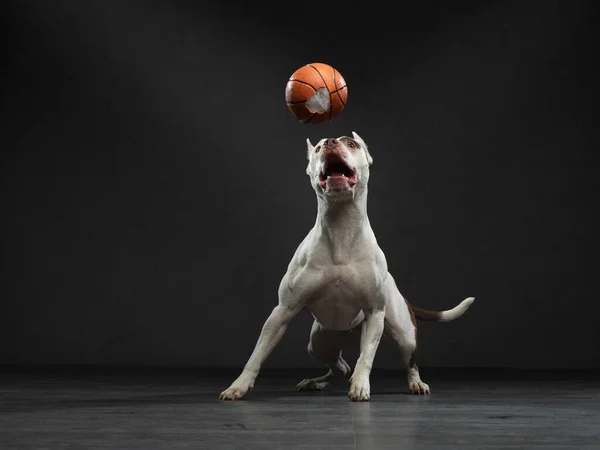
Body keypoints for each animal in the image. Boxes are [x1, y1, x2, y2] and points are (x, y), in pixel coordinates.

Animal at [220, 133, 474, 400]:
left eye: (351, 144)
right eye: (318, 148)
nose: (331, 142)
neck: (341, 228)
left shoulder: (374, 312)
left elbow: (367, 357)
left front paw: (361, 385)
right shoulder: (283, 311)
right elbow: (257, 354)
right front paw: (238, 386)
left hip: (403, 333)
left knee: (408, 362)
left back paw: (416, 383)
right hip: (320, 343)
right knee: (340, 367)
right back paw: (315, 382)